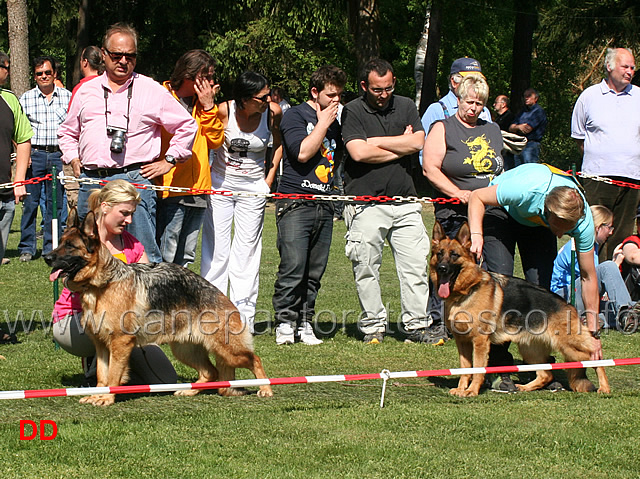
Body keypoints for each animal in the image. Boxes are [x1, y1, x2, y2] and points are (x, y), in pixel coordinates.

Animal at [43, 212, 274, 406]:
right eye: (59, 243)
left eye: (70, 246)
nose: (47, 257)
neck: (102, 283)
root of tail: (221, 295)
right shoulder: (101, 346)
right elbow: (102, 375)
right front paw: (98, 395)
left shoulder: (120, 343)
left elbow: (113, 375)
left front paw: (107, 398)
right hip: (184, 350)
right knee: (211, 373)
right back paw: (189, 391)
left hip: (227, 350)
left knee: (254, 359)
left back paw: (266, 388)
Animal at [430, 221, 608, 398]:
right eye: (439, 254)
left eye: (454, 255)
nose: (442, 268)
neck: (466, 291)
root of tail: (568, 304)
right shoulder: (462, 341)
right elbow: (465, 368)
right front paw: (461, 389)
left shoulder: (479, 342)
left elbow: (478, 369)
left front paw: (472, 390)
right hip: (530, 349)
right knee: (546, 374)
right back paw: (524, 387)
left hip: (568, 346)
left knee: (596, 358)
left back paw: (604, 388)